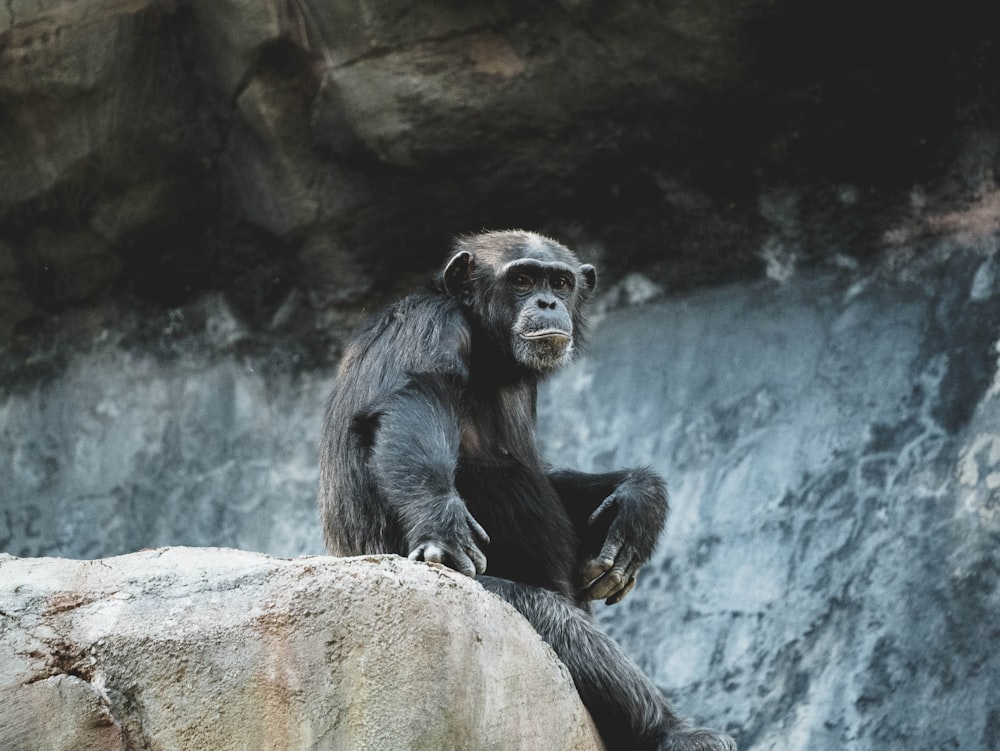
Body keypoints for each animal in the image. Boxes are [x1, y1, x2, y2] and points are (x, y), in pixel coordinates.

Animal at [320, 231, 736, 751]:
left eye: (559, 282)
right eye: (521, 279)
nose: (547, 302)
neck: (488, 344)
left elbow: (545, 472)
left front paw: (639, 501)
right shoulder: (428, 325)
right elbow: (415, 398)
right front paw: (441, 521)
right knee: (556, 621)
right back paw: (673, 731)